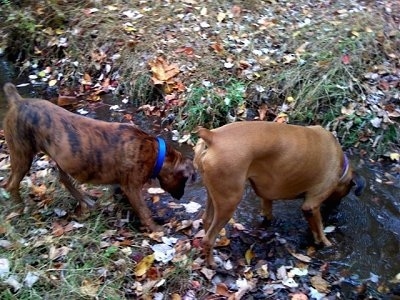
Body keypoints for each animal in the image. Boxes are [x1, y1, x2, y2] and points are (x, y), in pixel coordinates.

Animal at [1, 82, 195, 232]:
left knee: (64, 179)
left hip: (60, 159)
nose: (180, 197)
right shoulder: (132, 187)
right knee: (11, 184)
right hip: (22, 155)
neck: (155, 152)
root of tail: (18, 101)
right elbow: (144, 211)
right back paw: (20, 208)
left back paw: (85, 200)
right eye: (184, 179)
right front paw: (155, 228)